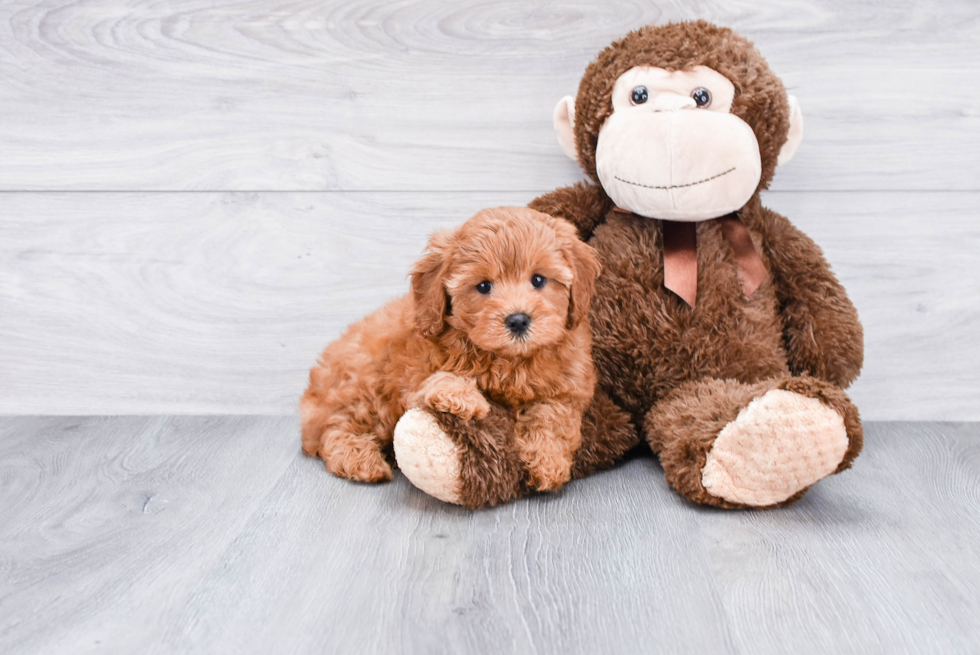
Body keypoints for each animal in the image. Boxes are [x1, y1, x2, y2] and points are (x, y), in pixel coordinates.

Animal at [298, 205, 600, 492]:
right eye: (483, 286)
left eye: (538, 280)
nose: (517, 320)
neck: (508, 361)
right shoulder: (410, 373)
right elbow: (437, 377)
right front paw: (461, 396)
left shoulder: (569, 386)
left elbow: (552, 418)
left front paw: (548, 463)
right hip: (365, 391)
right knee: (335, 430)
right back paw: (361, 460)